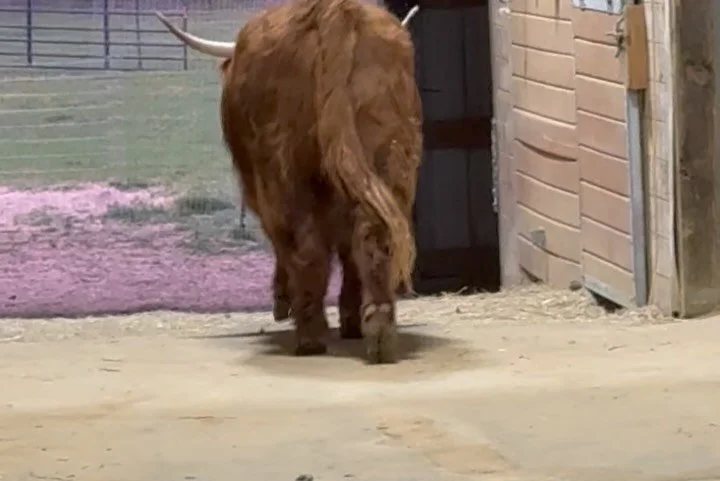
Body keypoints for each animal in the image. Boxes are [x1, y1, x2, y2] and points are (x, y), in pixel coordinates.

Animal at [155, 0, 423, 364]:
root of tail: (337, 12)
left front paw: (283, 303)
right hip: (389, 159)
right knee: (371, 236)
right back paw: (374, 329)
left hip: (283, 173)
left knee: (303, 245)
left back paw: (309, 336)